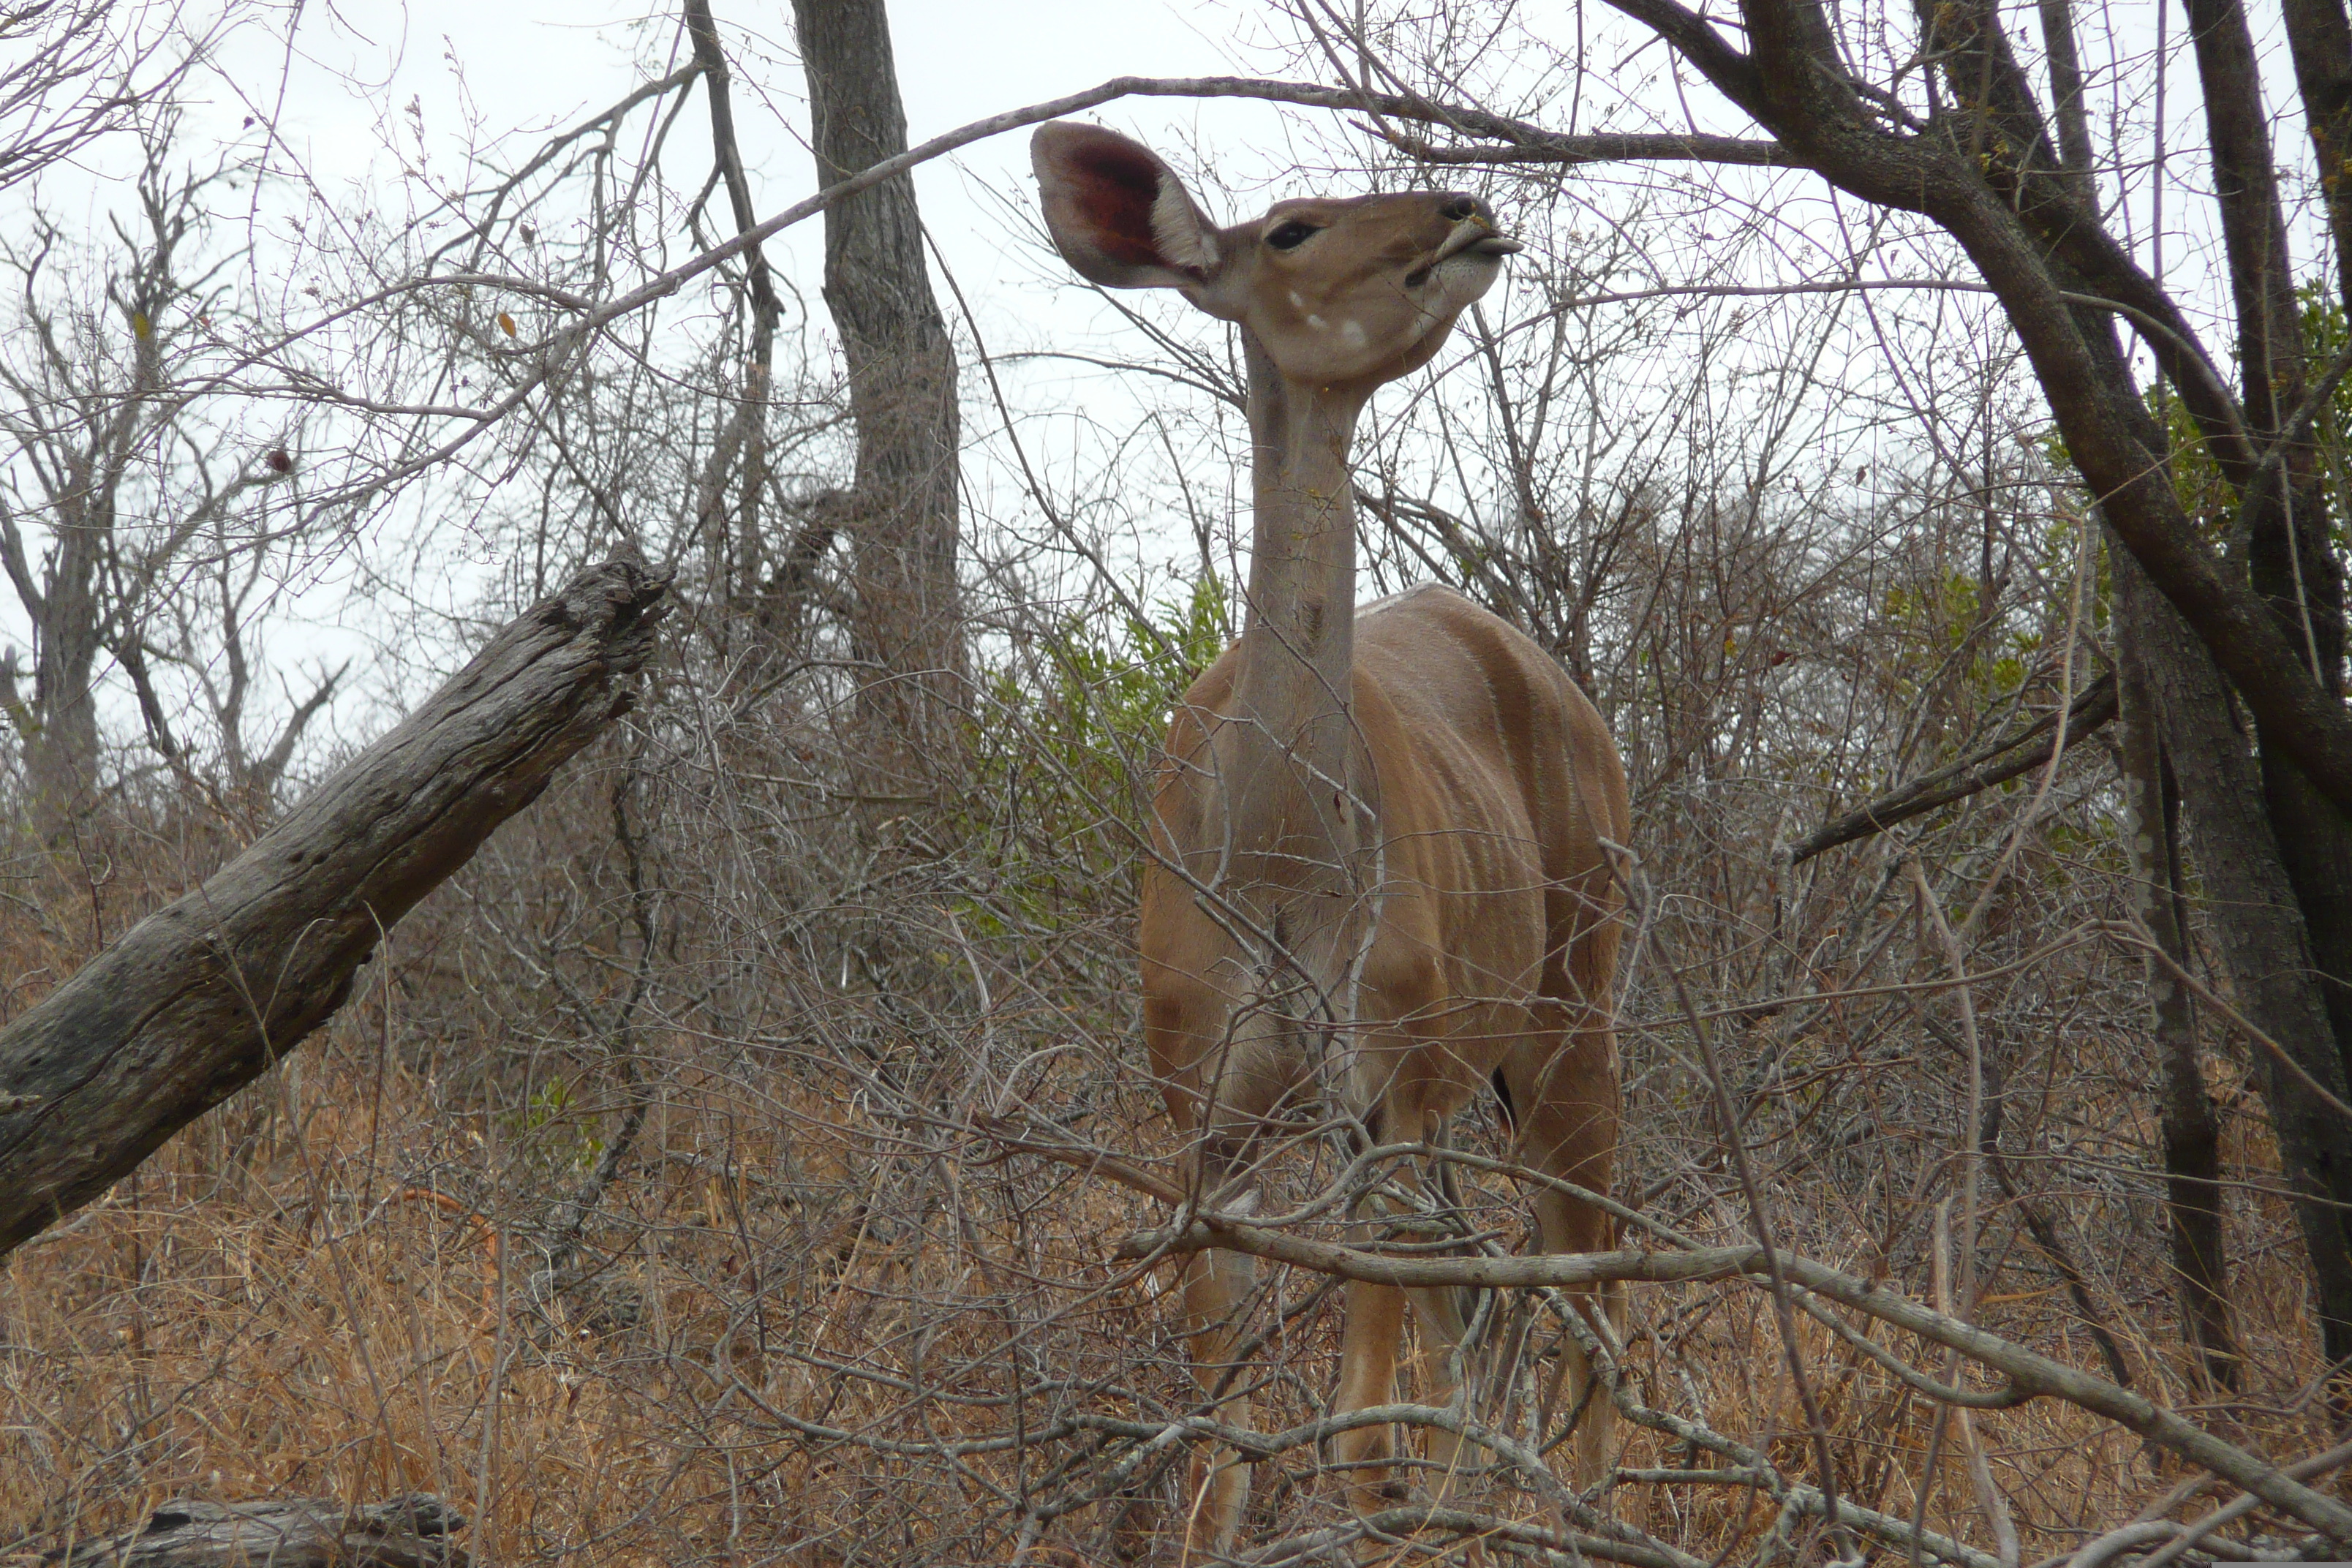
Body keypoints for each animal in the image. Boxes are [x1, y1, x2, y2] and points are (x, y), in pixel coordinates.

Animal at [1039, 122, 1627, 1542]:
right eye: (1293, 228)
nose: (1464, 208)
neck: (1276, 853)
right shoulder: (1209, 1117)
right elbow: (1220, 1446)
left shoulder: (1382, 1089)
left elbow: (1363, 1435)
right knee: (1488, 1303)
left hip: (1570, 1013)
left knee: (1591, 1274)